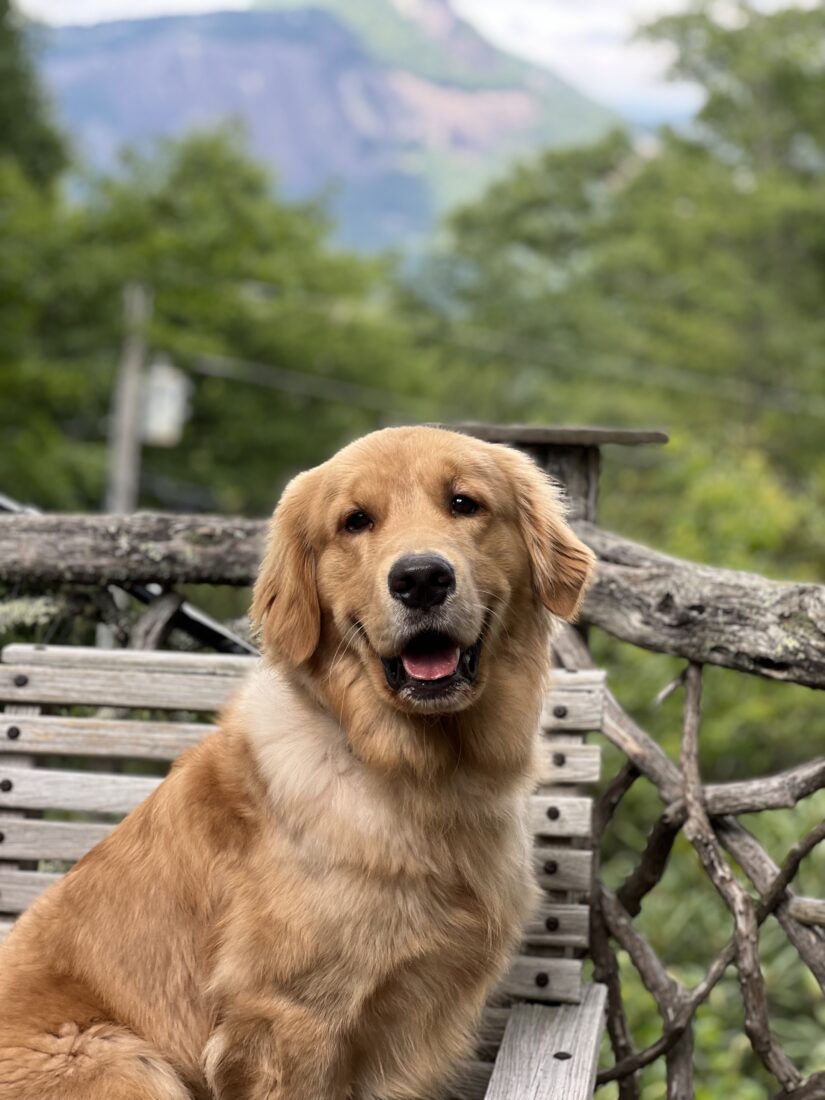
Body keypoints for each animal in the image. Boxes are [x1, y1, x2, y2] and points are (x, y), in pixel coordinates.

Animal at [0, 424, 594, 1095]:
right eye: (355, 521)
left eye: (464, 503)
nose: (421, 578)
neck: (417, 771)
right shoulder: (287, 1020)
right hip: (118, 1056)